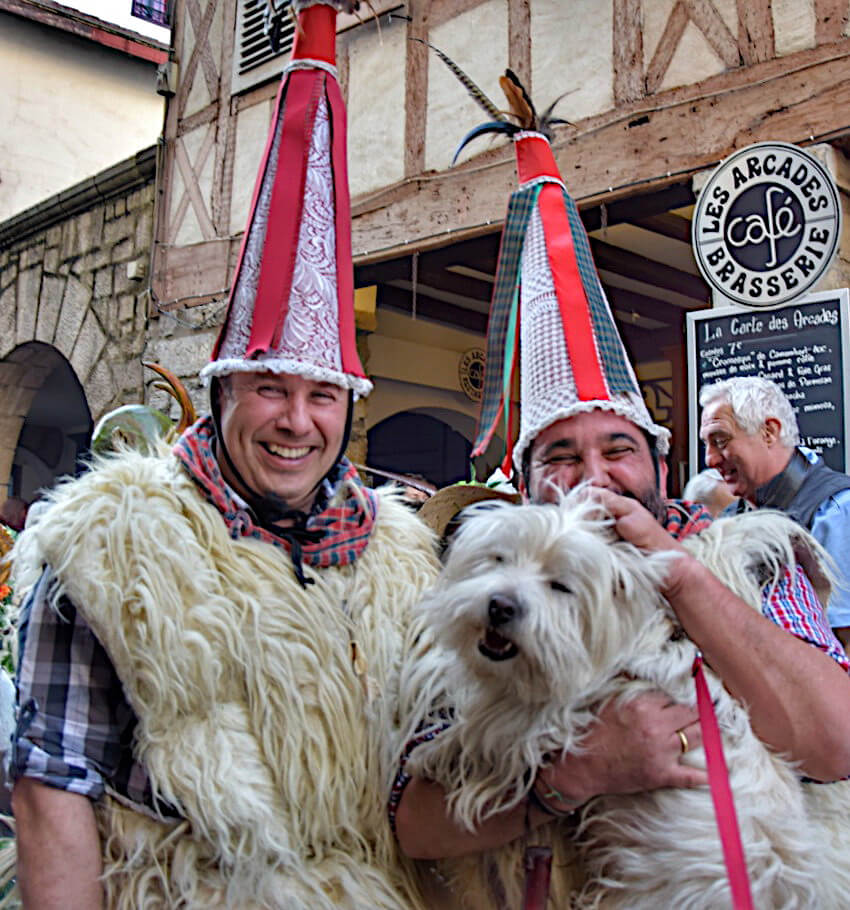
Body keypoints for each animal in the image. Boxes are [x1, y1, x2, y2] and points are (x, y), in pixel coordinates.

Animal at [400, 496, 848, 908]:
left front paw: (433, 754)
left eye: (561, 585)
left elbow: (486, 726)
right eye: (500, 559)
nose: (499, 606)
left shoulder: (557, 712)